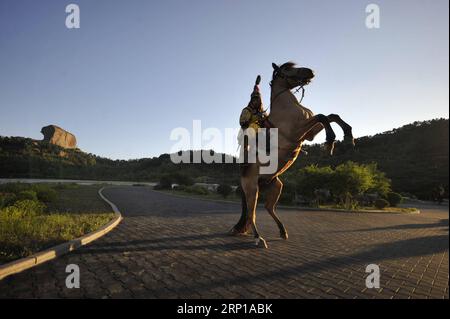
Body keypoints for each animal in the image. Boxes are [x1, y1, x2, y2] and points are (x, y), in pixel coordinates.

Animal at [230, 61, 354, 249]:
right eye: (287, 69)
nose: (310, 71)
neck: (287, 107)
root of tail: (243, 176)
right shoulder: (297, 131)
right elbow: (322, 116)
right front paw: (330, 141)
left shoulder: (308, 134)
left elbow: (331, 116)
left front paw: (348, 135)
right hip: (252, 190)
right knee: (251, 214)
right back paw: (259, 239)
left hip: (275, 186)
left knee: (269, 208)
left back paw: (282, 231)